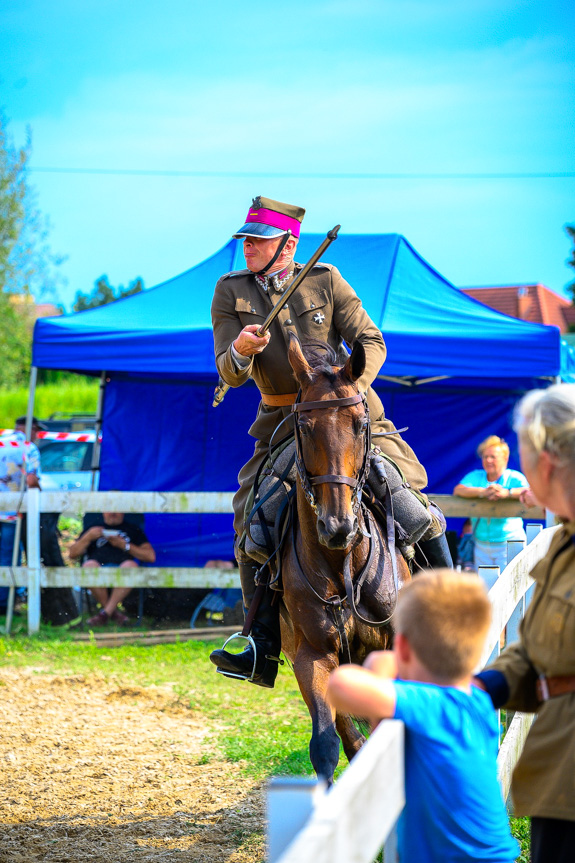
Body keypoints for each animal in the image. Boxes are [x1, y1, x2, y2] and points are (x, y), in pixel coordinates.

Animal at [280, 336, 410, 784]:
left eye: (359, 423)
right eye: (303, 427)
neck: (341, 565)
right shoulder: (313, 657)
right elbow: (327, 742)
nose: (337, 526)